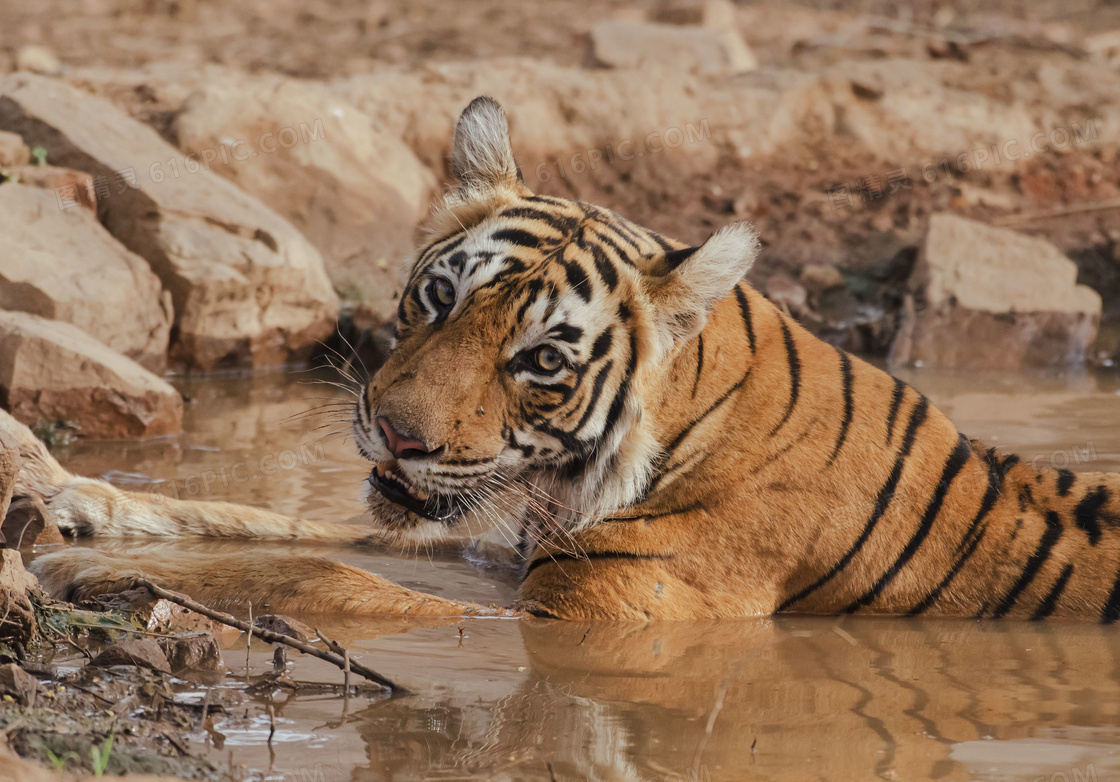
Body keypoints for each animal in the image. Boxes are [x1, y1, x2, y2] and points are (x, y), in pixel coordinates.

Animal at [15, 95, 1120, 622]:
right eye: (439, 297)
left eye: (543, 361)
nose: (396, 435)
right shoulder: (498, 547)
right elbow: (281, 525)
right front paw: (77, 499)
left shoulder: (602, 614)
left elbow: (327, 577)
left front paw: (76, 561)